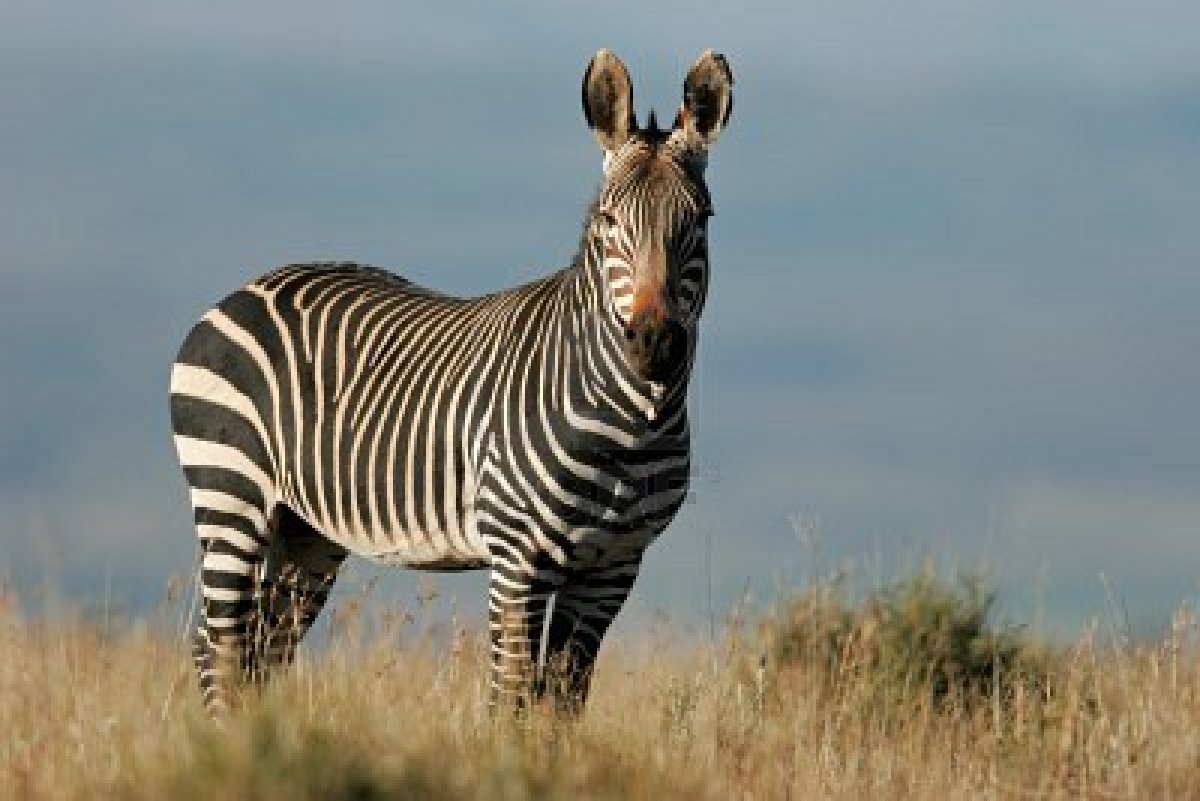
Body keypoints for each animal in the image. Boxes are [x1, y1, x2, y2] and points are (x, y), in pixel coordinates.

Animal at [169, 49, 733, 715]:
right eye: (607, 219)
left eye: (701, 220)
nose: (654, 344)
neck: (629, 424)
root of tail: (244, 288)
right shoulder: (518, 558)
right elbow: (511, 696)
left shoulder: (613, 566)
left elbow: (561, 699)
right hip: (229, 493)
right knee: (220, 644)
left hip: (303, 527)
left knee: (263, 645)